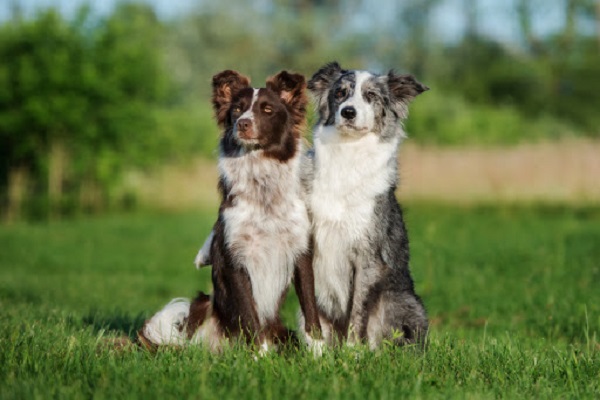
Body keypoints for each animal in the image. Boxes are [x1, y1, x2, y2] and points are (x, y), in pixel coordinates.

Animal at [138, 71, 322, 354]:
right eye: (236, 109)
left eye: (267, 110)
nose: (243, 123)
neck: (263, 192)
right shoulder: (235, 257)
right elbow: (250, 315)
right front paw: (261, 357)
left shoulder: (301, 253)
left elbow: (311, 310)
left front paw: (320, 355)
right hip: (203, 305)